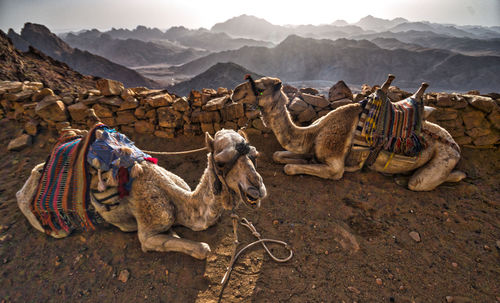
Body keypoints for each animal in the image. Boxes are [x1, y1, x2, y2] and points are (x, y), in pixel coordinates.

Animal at [16, 129, 266, 260]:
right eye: (221, 162)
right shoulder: (149, 228)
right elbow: (202, 248)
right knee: (24, 196)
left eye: (255, 155)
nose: (256, 189)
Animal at [232, 75, 466, 191]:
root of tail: (453, 143)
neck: (313, 132)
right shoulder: (311, 147)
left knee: (421, 182)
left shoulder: (335, 166)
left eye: (261, 87)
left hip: (444, 157)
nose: (235, 91)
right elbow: (278, 155)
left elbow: (290, 167)